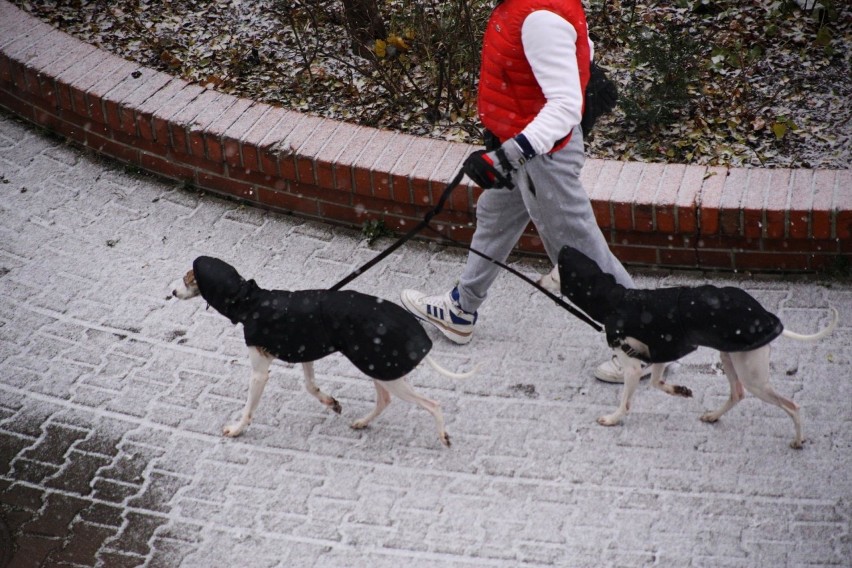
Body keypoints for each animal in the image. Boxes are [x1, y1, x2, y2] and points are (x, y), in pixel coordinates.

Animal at [170, 255, 476, 446]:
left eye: (186, 279)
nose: (171, 293)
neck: (250, 302)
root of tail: (412, 326)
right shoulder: (306, 351)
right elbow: (310, 386)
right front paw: (331, 402)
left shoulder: (260, 373)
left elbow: (248, 409)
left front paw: (236, 429)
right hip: (377, 368)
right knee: (384, 400)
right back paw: (362, 422)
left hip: (385, 371)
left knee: (432, 404)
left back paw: (443, 435)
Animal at [544, 244, 840, 448]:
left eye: (552, 274)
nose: (539, 281)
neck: (615, 299)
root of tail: (765, 316)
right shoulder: (662, 351)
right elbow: (656, 382)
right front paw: (680, 390)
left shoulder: (633, 368)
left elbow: (627, 402)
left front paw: (613, 418)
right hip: (730, 358)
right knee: (737, 394)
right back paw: (713, 416)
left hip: (752, 375)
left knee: (792, 406)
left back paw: (798, 440)